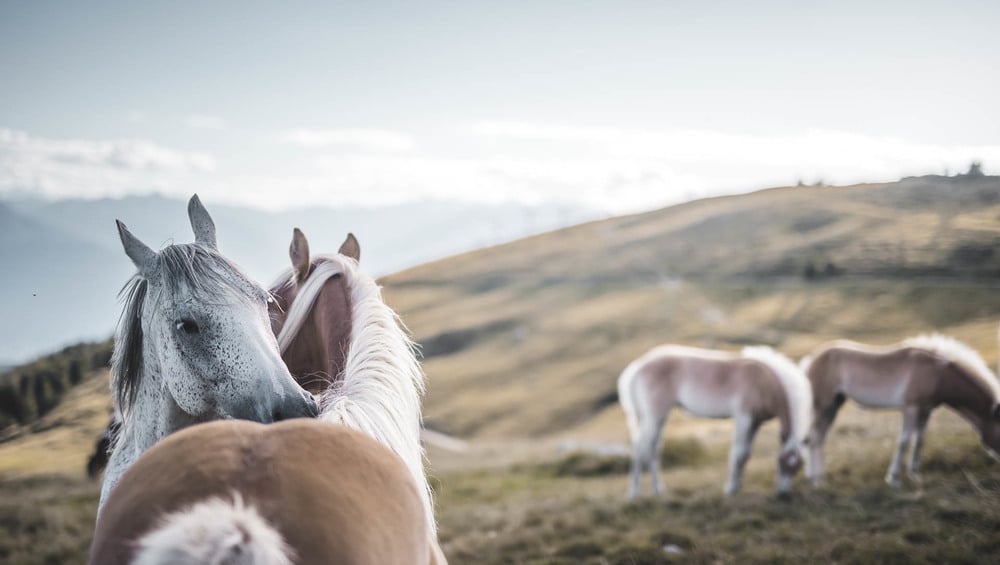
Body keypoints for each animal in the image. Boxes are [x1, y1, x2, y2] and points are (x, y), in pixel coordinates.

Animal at [616, 344, 812, 494]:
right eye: (782, 463)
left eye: (797, 467)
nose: (784, 494)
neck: (765, 381)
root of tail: (636, 368)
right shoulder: (744, 418)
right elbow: (738, 453)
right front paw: (731, 489)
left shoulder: (755, 423)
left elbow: (746, 454)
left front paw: (738, 486)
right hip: (654, 417)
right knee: (640, 448)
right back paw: (634, 493)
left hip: (657, 419)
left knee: (652, 449)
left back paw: (657, 490)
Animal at [804, 332, 1000, 486]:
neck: (936, 373)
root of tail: (811, 360)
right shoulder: (911, 409)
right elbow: (904, 441)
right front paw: (894, 479)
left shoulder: (925, 411)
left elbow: (919, 440)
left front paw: (915, 475)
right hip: (824, 406)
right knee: (814, 439)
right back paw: (817, 482)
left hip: (833, 406)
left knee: (819, 438)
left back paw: (817, 477)